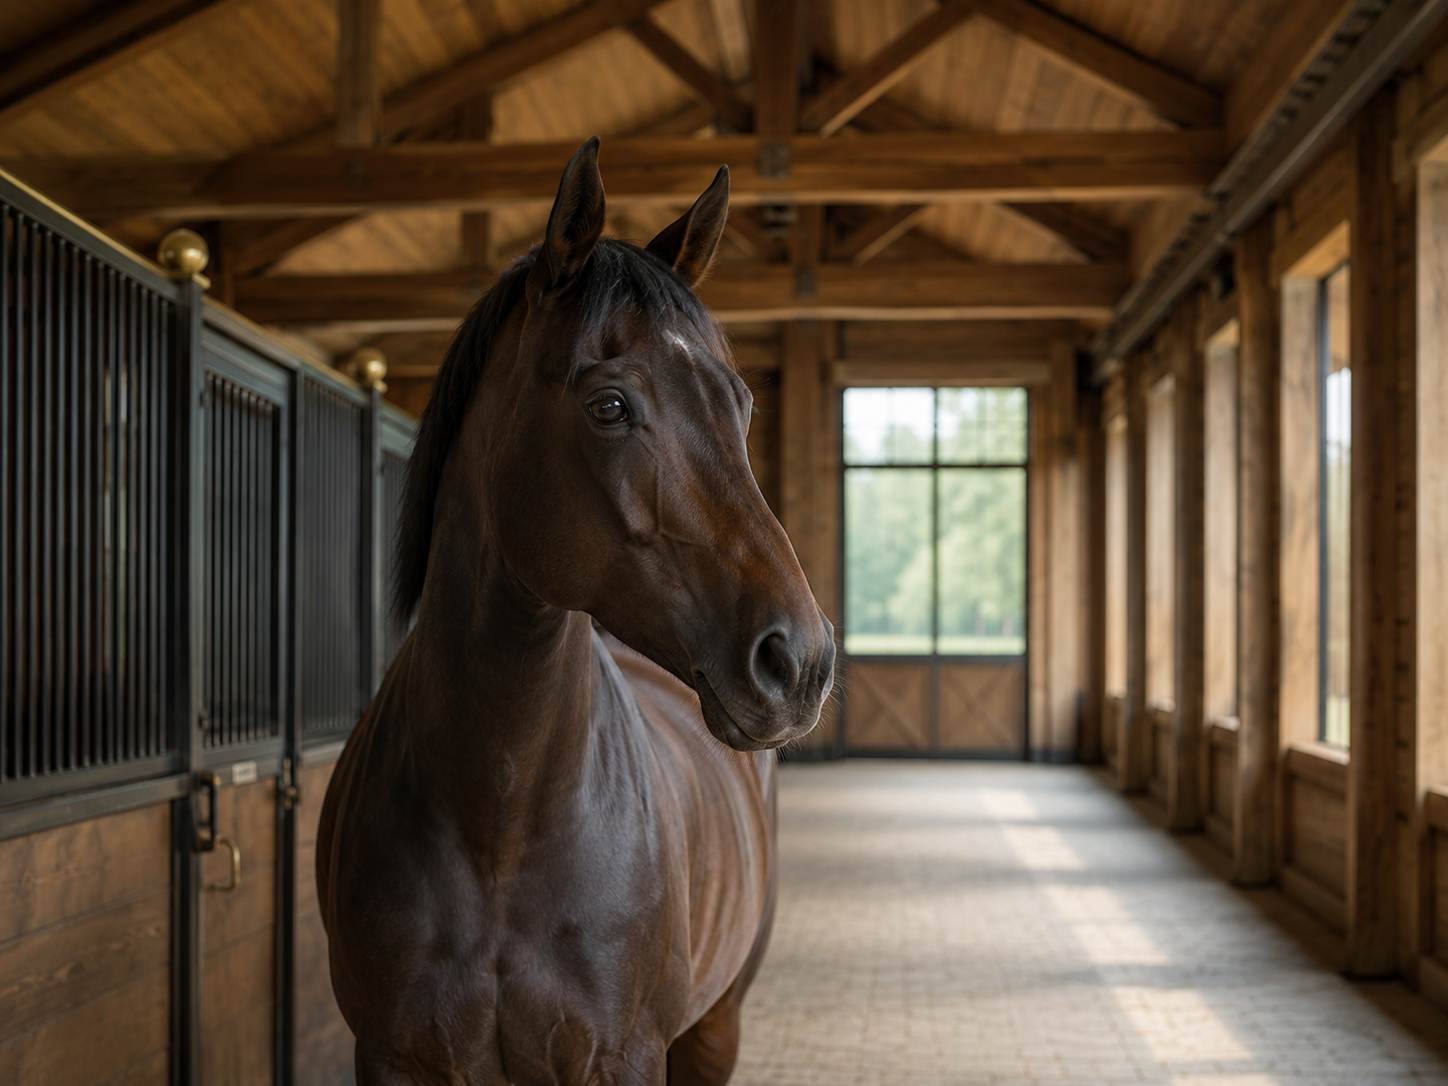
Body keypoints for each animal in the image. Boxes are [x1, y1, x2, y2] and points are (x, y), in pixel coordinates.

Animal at [316, 137, 836, 1086]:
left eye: (741, 405)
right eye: (610, 406)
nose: (801, 660)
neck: (501, 823)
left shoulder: (622, 1058)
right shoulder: (391, 1056)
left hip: (717, 1027)